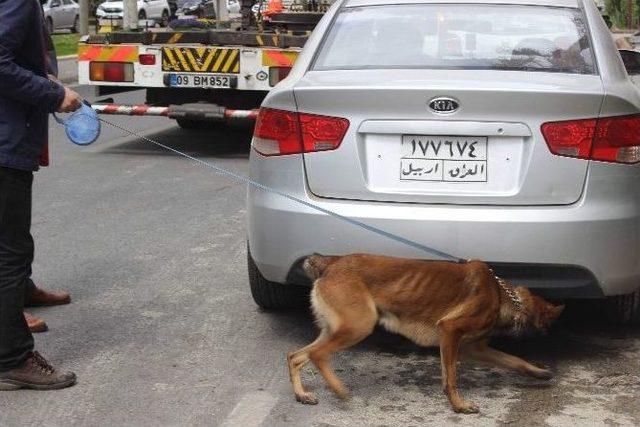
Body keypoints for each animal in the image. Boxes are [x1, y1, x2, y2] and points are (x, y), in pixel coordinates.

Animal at [288, 254, 564, 414]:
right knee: (318, 355)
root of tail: (331, 262)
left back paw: (302, 394)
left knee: (296, 356)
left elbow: (514, 361)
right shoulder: (450, 332)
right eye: (546, 326)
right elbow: (452, 377)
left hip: (336, 329)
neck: (502, 296)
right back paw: (338, 390)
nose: (546, 338)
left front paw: (538, 371)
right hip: (359, 326)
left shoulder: (473, 348)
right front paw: (459, 405)